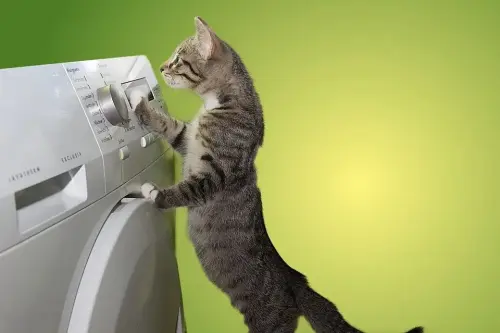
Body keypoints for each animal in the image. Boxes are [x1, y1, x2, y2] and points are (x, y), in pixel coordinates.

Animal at [131, 16, 424, 332]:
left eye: (177, 59)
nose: (162, 68)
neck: (219, 103)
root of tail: (295, 280)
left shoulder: (216, 172)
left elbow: (185, 189)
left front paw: (153, 193)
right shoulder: (188, 140)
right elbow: (171, 126)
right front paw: (138, 101)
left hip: (269, 320)